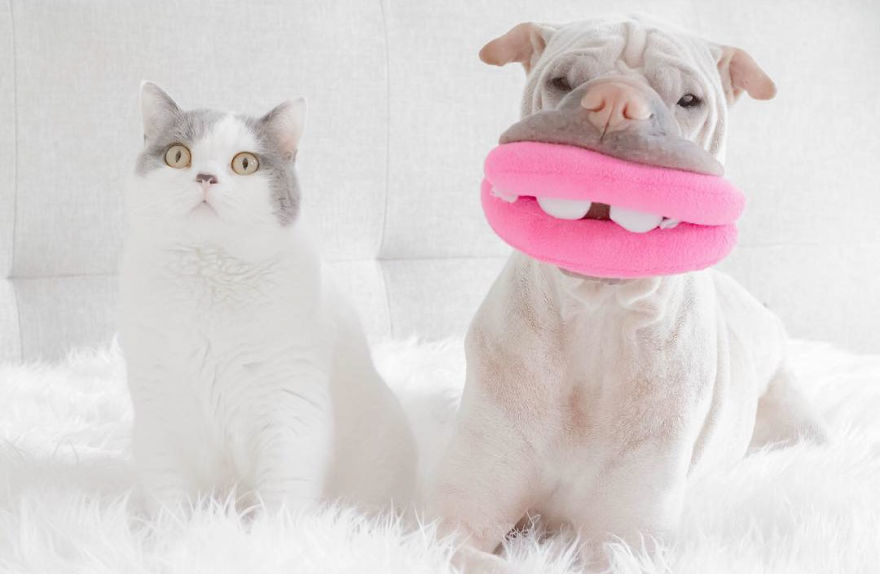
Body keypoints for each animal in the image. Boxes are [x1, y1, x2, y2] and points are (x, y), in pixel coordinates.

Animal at [119, 82, 415, 514]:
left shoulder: (291, 410)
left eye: (244, 163)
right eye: (177, 155)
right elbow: (171, 500)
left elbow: (282, 500)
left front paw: (272, 535)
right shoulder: (159, 414)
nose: (205, 177)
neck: (211, 278)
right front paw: (182, 533)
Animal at [427, 16, 825, 566]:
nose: (614, 102)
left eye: (688, 100)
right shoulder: (455, 524)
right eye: (562, 82)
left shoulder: (625, 542)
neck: (597, 320)